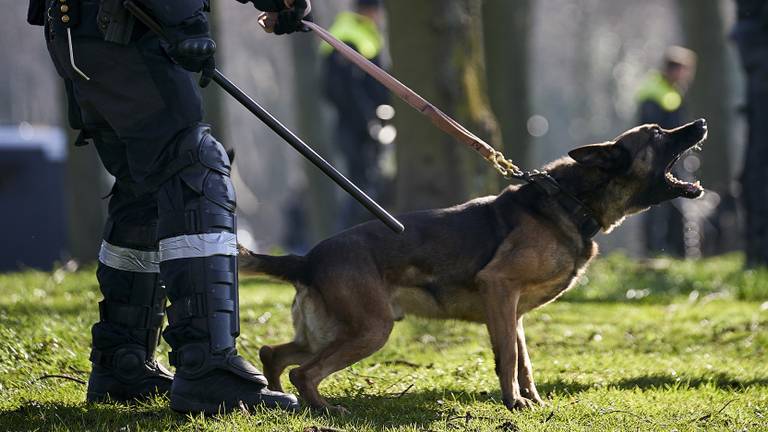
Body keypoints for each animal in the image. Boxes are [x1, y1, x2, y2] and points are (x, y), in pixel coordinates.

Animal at [238, 118, 708, 412]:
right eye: (657, 133)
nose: (701, 123)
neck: (570, 202)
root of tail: (307, 259)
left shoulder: (513, 312)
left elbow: (524, 360)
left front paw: (532, 400)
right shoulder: (499, 287)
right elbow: (508, 357)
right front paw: (514, 403)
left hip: (331, 331)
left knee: (273, 354)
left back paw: (282, 402)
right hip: (370, 329)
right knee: (305, 372)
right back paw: (324, 409)